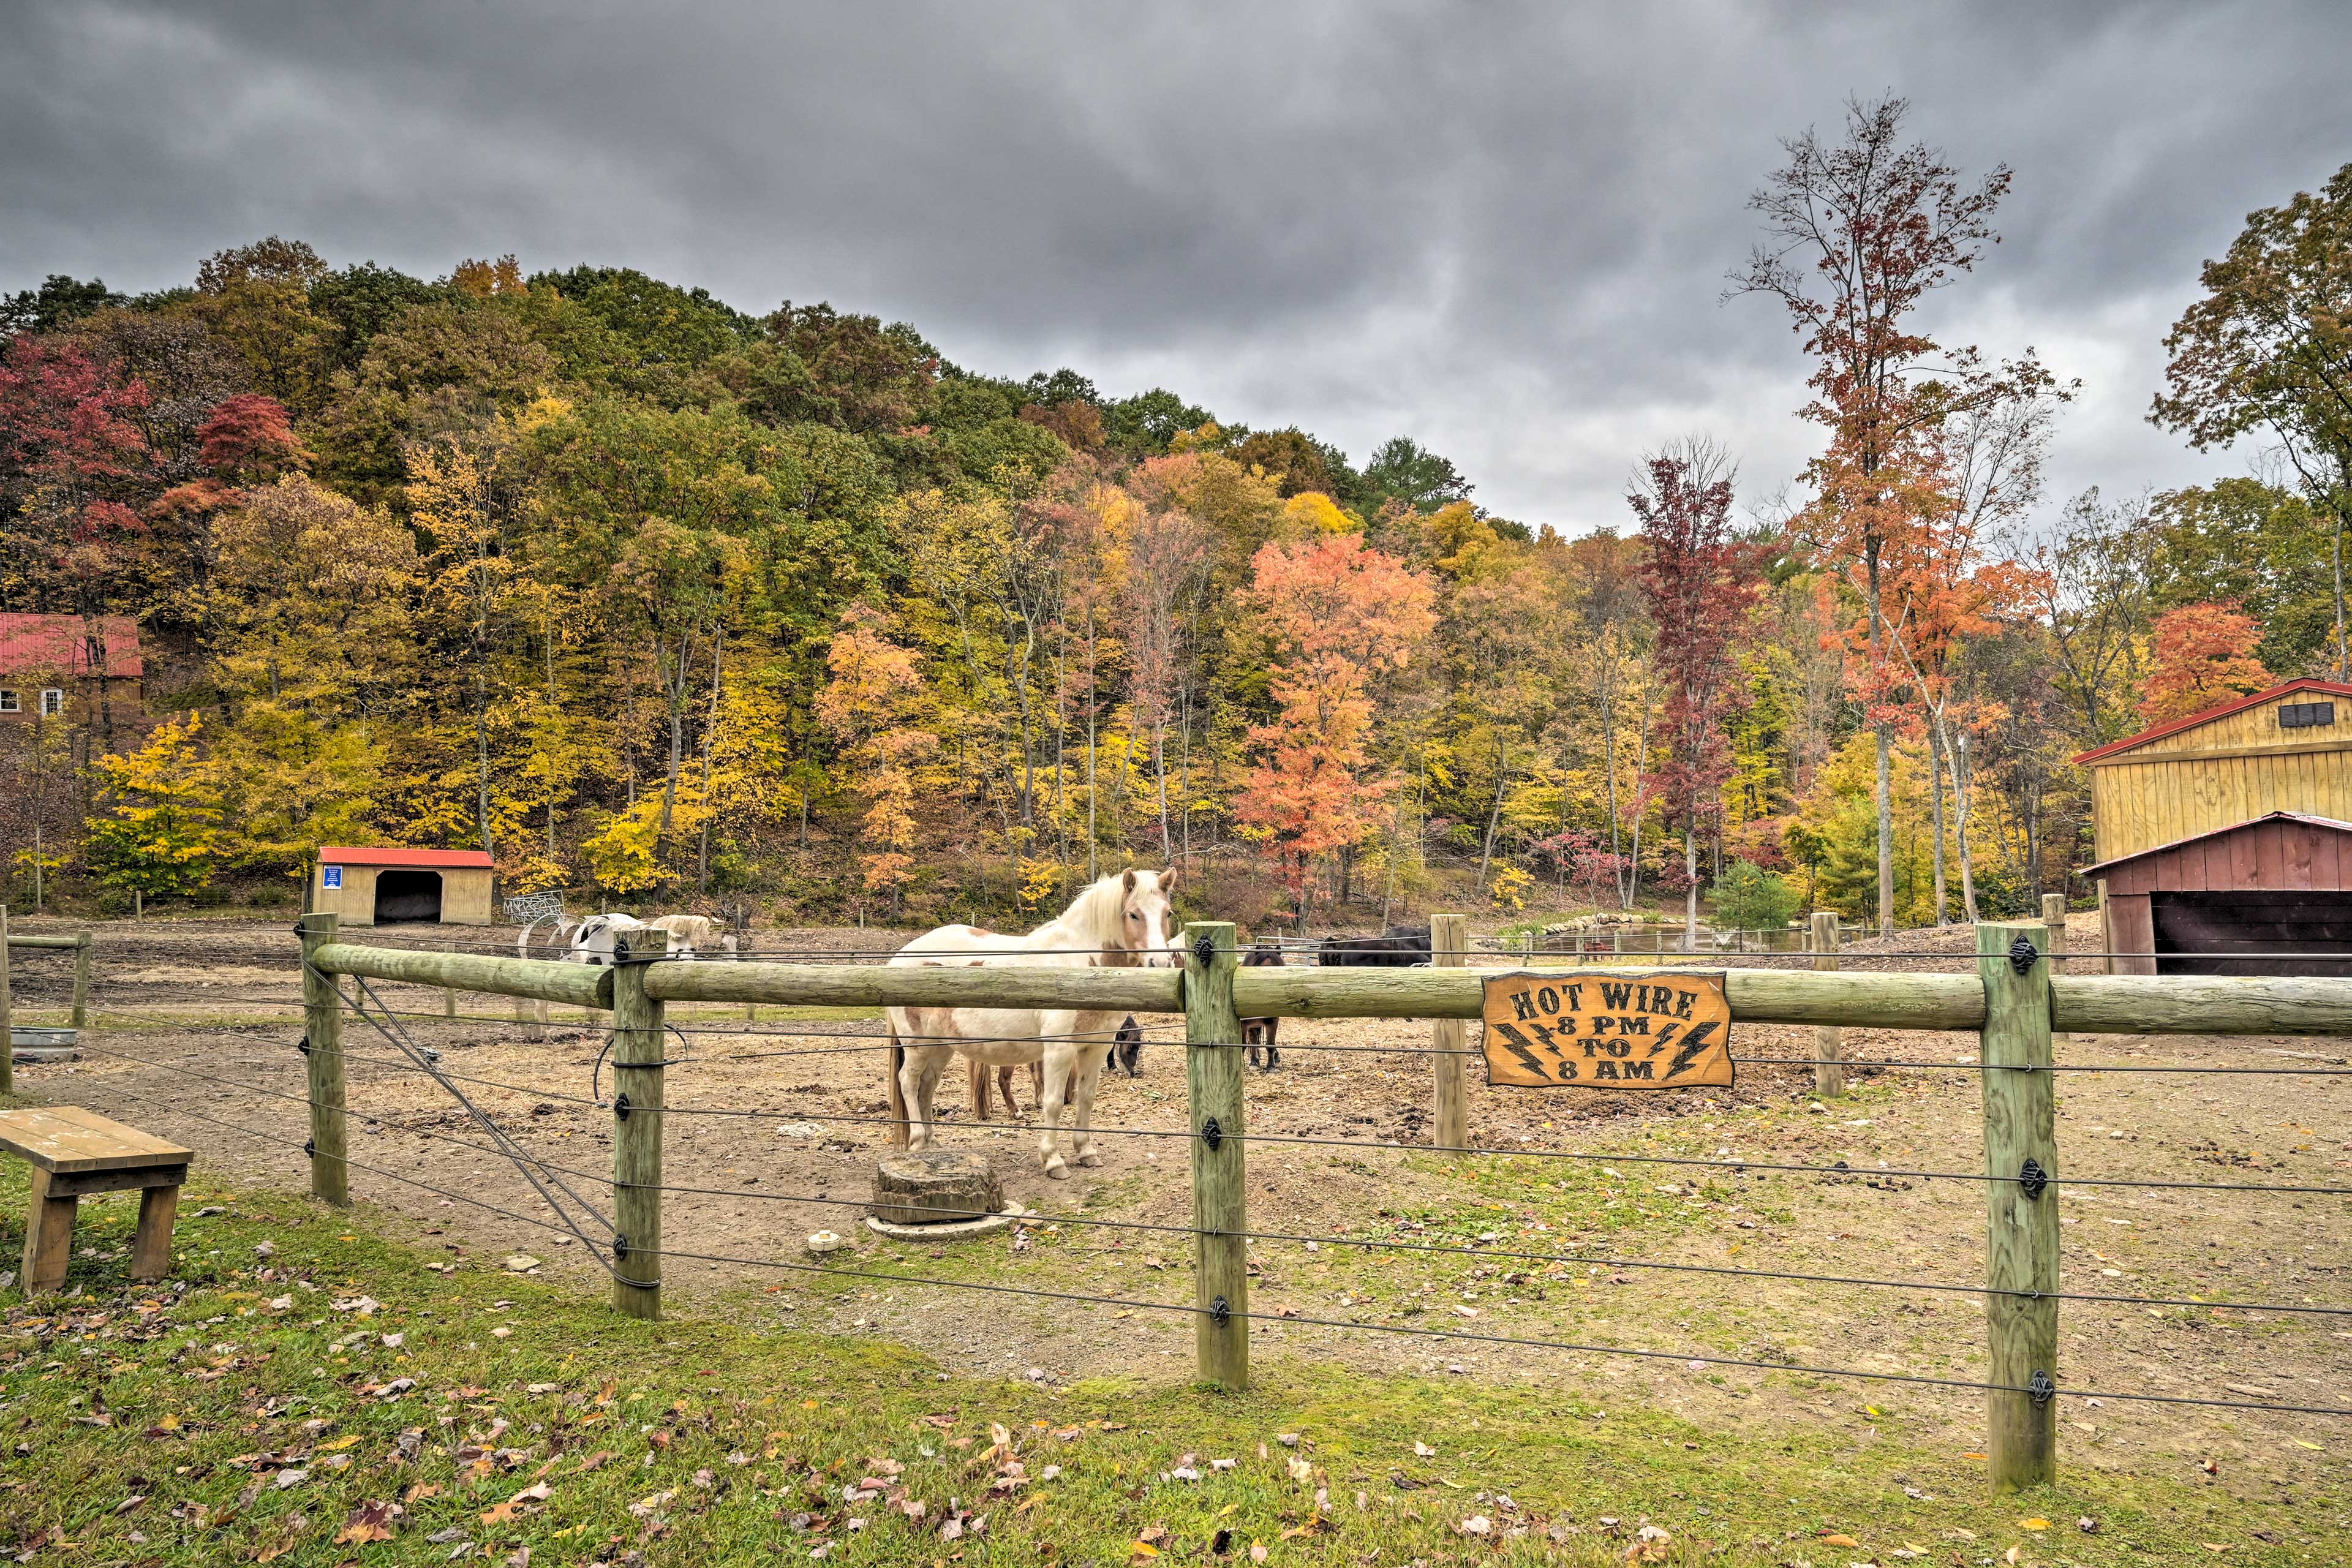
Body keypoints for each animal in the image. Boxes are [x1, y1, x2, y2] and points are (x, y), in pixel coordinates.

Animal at [884, 870, 1176, 1175]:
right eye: (1133, 914)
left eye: (1167, 913)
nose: (1160, 963)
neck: (1079, 964)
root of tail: (899, 957)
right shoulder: (1059, 1050)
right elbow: (1053, 1102)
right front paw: (1053, 1161)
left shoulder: (1095, 1048)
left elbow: (1086, 1097)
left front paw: (1086, 1152)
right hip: (917, 1045)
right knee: (908, 1082)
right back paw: (918, 1140)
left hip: (942, 1047)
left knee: (927, 1085)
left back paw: (932, 1142)